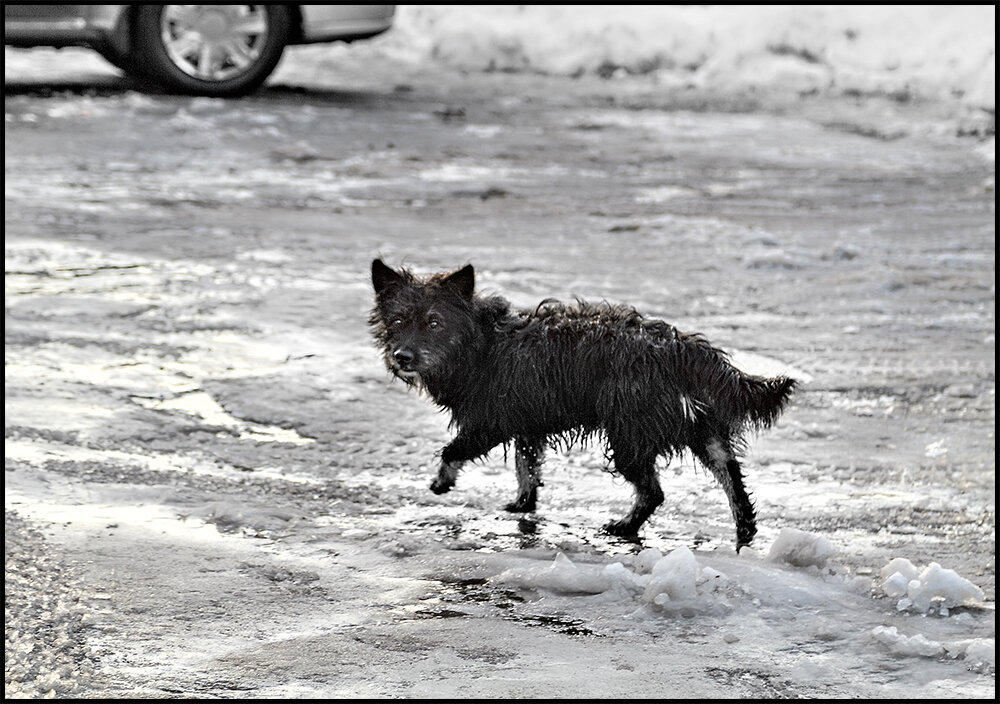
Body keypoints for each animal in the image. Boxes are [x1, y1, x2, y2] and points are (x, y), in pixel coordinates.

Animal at [370, 260, 796, 552]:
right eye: (397, 320)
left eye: (434, 322)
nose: (402, 357)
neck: (483, 346)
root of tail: (683, 348)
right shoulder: (528, 425)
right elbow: (527, 467)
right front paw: (523, 504)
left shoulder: (491, 419)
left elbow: (454, 449)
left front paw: (442, 482)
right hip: (700, 426)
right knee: (730, 474)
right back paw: (745, 529)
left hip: (629, 431)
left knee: (653, 491)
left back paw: (625, 527)